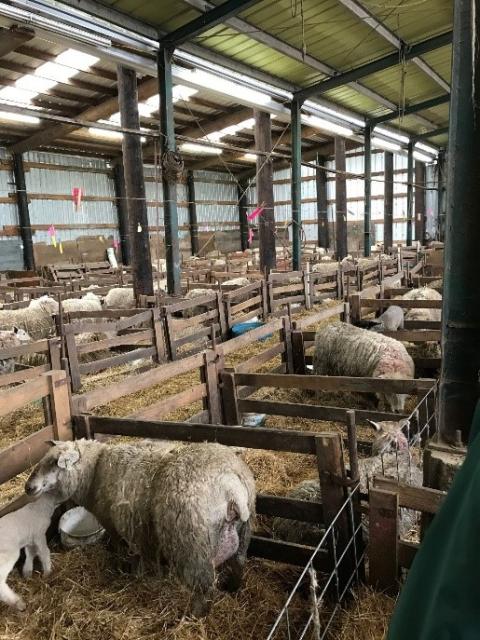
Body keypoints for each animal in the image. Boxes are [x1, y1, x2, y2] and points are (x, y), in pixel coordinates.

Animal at [25, 439, 256, 616]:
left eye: (54, 463)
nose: (28, 487)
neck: (95, 471)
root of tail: (230, 487)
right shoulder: (142, 531)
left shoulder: (114, 524)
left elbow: (123, 549)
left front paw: (126, 570)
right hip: (243, 531)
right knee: (238, 562)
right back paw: (232, 588)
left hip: (191, 544)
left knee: (204, 587)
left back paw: (195, 615)